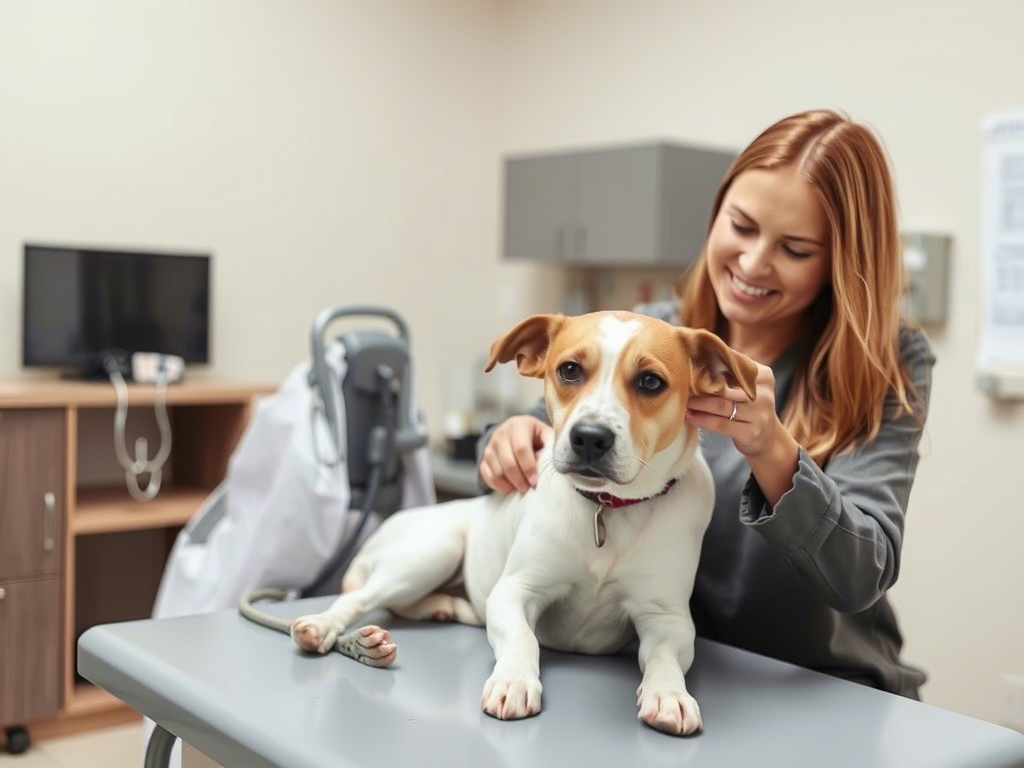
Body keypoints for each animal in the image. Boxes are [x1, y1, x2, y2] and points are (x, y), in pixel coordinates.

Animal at [292, 313, 757, 741]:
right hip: (434, 550)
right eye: (569, 369)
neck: (606, 507)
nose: (590, 437)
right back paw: (322, 626)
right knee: (361, 598)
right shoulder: (517, 590)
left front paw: (669, 695)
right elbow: (523, 639)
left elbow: (663, 658)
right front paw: (513, 681)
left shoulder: (667, 618)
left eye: (650, 381)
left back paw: (445, 608)